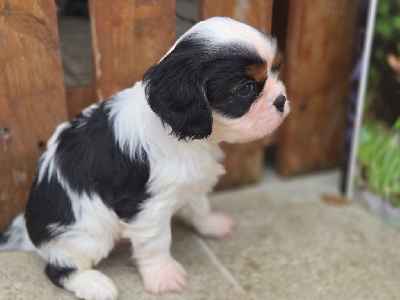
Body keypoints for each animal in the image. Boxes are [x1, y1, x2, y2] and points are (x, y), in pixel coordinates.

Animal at [0, 17, 290, 298]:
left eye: (276, 71)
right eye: (247, 88)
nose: (282, 100)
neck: (185, 138)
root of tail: (27, 230)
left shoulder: (191, 179)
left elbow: (198, 204)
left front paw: (211, 224)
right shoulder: (147, 208)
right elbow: (157, 243)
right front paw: (163, 275)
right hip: (83, 235)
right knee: (58, 269)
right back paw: (94, 284)